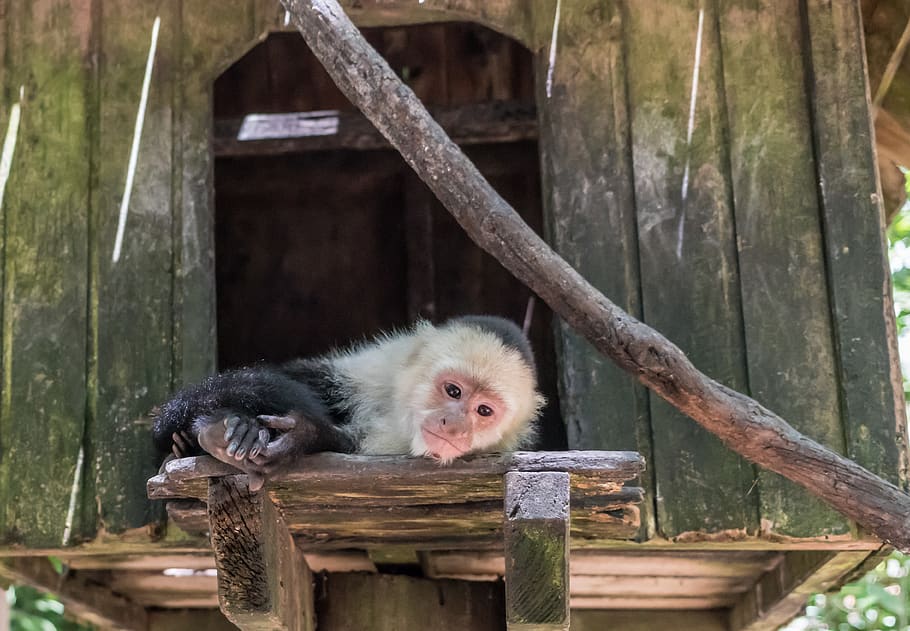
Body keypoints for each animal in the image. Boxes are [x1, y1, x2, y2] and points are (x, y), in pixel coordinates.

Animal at [153, 318, 544, 492]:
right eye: (453, 391)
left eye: (484, 411)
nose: (455, 424)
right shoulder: (377, 369)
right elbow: (290, 377)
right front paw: (225, 421)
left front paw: (306, 435)